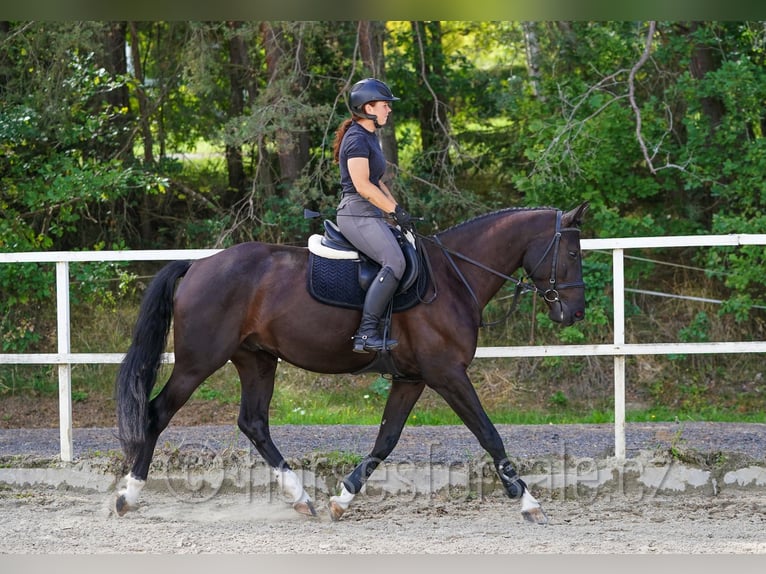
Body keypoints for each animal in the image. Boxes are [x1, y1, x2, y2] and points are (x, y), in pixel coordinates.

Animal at [114, 202, 589, 524]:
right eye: (573, 254)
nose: (575, 312)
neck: (454, 277)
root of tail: (198, 265)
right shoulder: (447, 374)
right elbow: (489, 435)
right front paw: (529, 503)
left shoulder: (412, 378)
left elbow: (387, 439)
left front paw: (342, 499)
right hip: (199, 361)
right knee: (156, 413)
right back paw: (128, 496)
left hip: (257, 359)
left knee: (253, 422)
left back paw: (301, 497)